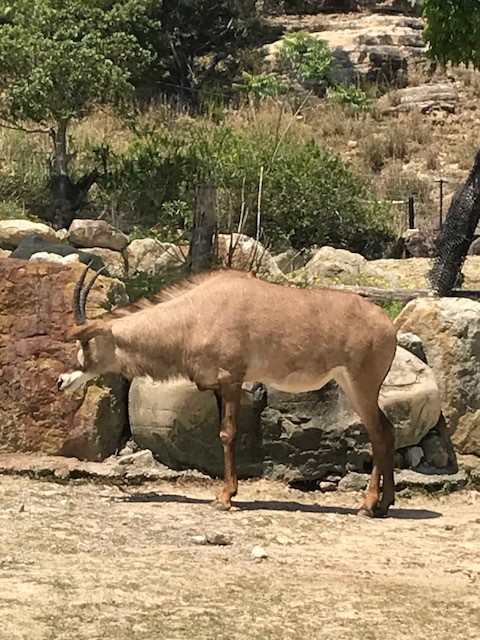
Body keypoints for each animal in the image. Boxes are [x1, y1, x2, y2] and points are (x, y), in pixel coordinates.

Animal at [58, 268, 398, 516]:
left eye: (86, 344)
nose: (62, 381)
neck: (196, 313)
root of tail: (388, 324)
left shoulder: (232, 380)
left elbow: (228, 434)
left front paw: (225, 497)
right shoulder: (219, 387)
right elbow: (222, 434)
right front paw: (226, 493)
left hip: (360, 386)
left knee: (378, 433)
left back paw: (368, 505)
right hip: (354, 386)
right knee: (388, 430)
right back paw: (384, 503)